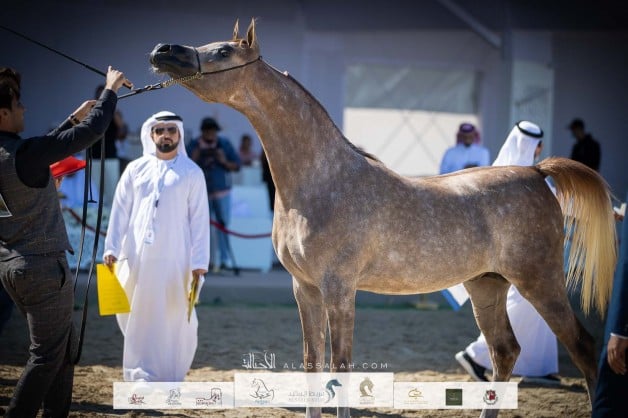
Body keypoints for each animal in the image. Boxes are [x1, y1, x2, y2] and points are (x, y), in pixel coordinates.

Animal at [148, 18, 620, 416]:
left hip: (540, 281)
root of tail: (536, 173)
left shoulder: (339, 289)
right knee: (505, 351)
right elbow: (312, 364)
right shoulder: (305, 289)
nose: (162, 49)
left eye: (223, 51)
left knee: (583, 347)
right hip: (487, 286)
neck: (323, 180)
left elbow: (340, 365)